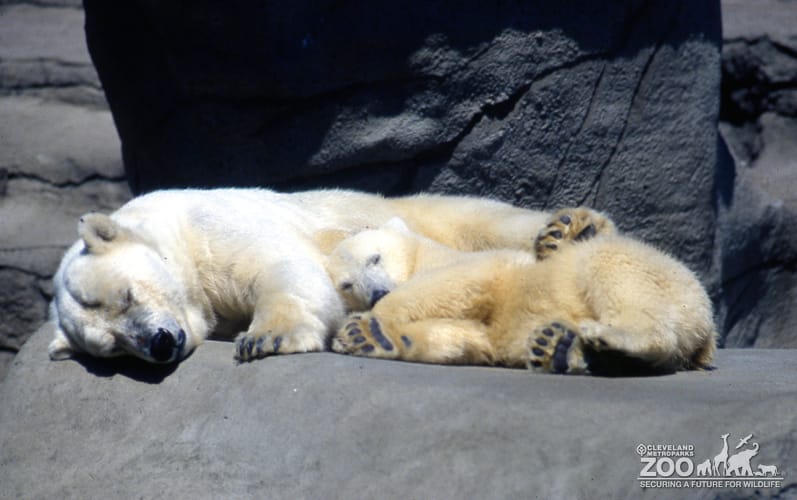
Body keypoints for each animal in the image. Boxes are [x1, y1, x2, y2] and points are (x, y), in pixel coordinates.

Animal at [48, 188, 559, 364]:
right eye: (114, 347)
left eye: (127, 295)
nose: (159, 344)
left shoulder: (209, 227)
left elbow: (278, 267)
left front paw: (265, 339)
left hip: (413, 212)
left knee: (490, 222)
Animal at [330, 208, 716, 375]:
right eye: (347, 284)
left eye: (375, 257)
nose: (375, 293)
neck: (419, 255)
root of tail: (704, 330)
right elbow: (471, 335)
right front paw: (370, 336)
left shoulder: (466, 263)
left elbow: (460, 281)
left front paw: (366, 324)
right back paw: (558, 346)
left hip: (655, 273)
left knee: (613, 272)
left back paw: (608, 336)